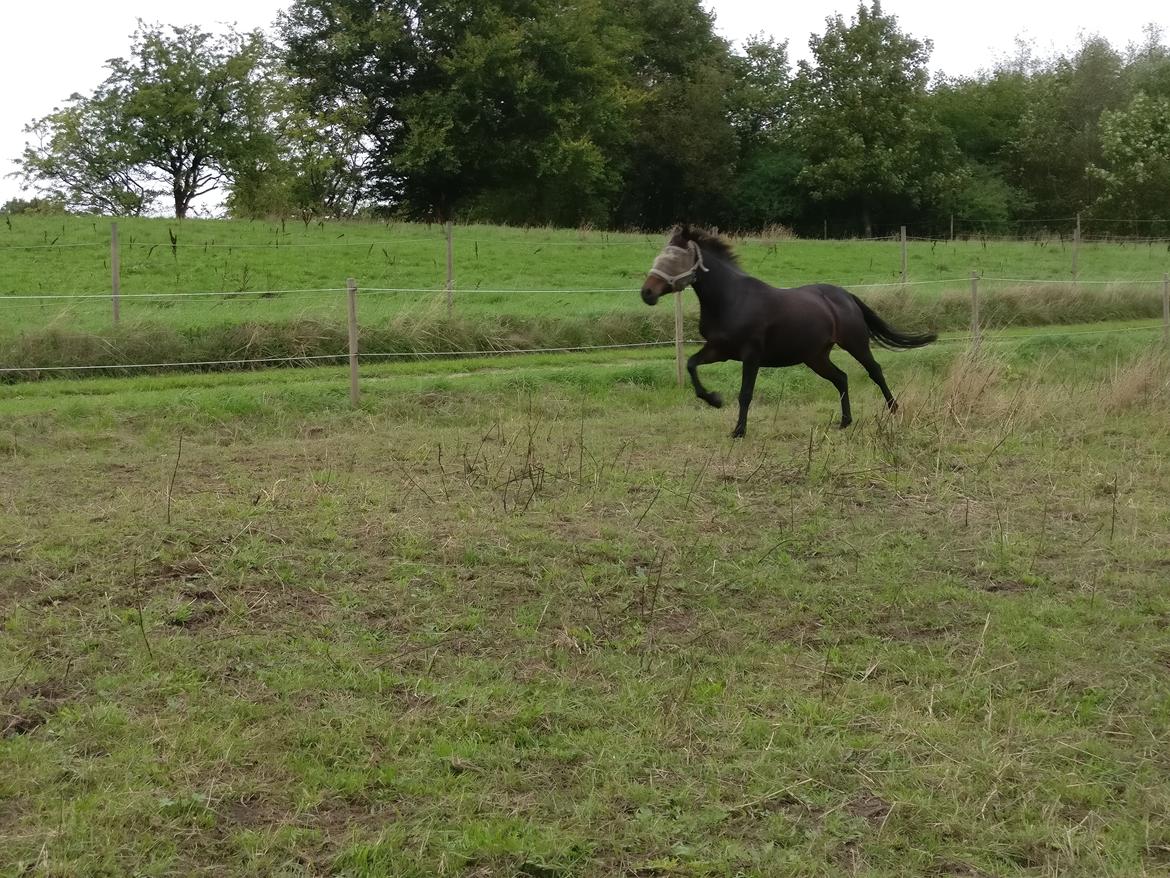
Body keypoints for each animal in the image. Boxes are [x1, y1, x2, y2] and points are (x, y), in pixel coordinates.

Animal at [645, 223, 935, 437]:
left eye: (674, 257)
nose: (646, 293)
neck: (731, 299)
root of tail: (846, 296)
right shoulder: (719, 349)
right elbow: (692, 365)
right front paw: (714, 399)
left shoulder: (751, 354)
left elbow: (745, 393)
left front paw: (738, 431)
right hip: (815, 356)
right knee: (841, 378)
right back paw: (844, 421)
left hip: (855, 343)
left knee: (875, 371)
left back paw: (894, 409)